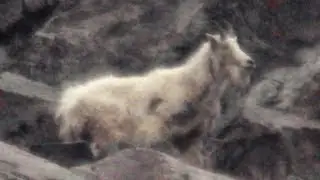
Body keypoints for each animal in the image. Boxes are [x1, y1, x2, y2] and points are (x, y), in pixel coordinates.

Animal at [54, 22, 255, 163]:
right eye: (225, 47)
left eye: (237, 44)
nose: (249, 62)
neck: (191, 81)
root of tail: (68, 104)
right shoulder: (157, 126)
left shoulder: (190, 136)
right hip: (105, 126)